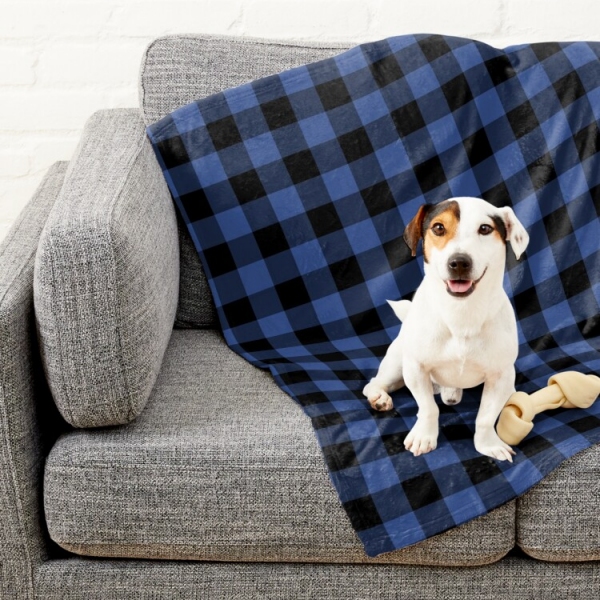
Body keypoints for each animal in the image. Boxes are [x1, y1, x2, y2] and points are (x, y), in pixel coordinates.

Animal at [364, 197, 528, 464]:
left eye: (485, 228)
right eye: (438, 228)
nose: (459, 262)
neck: (461, 314)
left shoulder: (500, 375)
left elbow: (485, 417)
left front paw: (489, 445)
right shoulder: (416, 368)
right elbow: (428, 408)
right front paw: (424, 437)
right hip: (397, 364)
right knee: (374, 383)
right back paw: (379, 398)